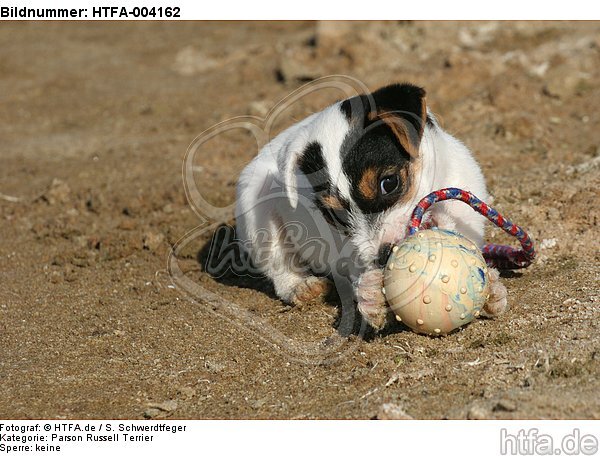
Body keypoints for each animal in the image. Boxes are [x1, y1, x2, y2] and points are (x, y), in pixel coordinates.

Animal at [234, 83, 506, 330]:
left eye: (389, 183)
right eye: (335, 216)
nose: (384, 256)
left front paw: (491, 288)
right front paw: (372, 294)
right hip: (254, 205)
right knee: (277, 262)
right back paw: (299, 285)